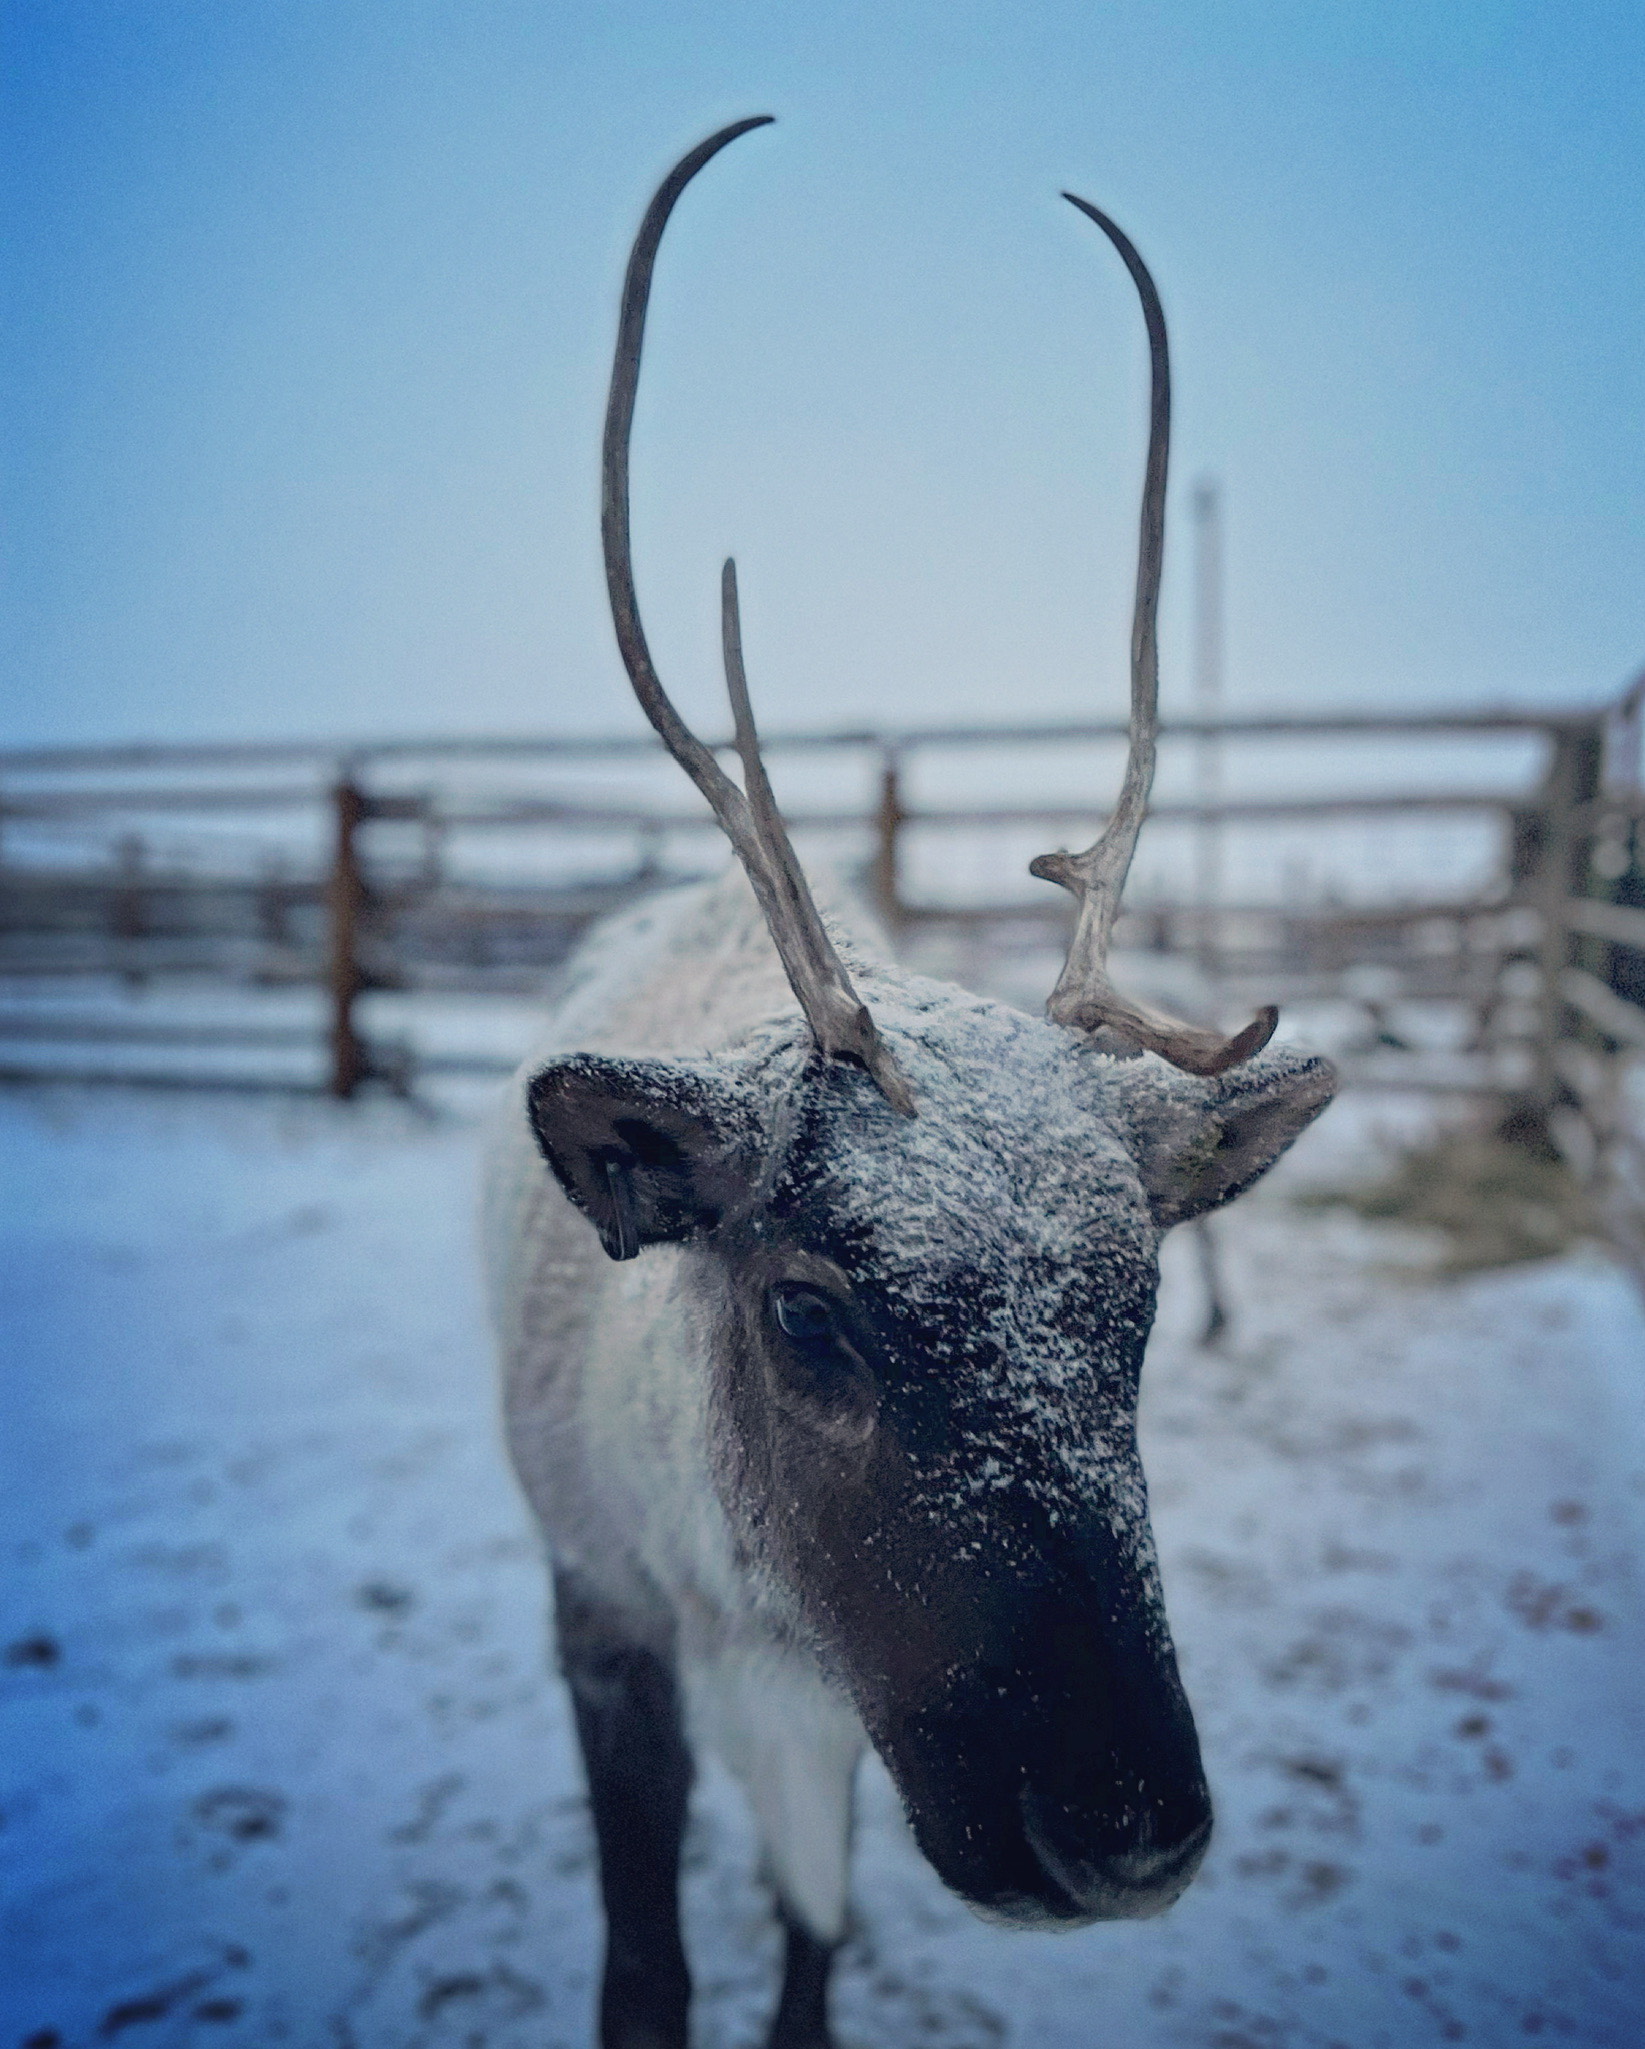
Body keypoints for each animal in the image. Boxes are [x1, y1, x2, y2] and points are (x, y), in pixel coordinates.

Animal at [483, 118, 1335, 2049]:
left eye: (1139, 1302)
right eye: (809, 1309)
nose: (1124, 1829)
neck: (730, 1587)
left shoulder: (835, 1705)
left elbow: (816, 1938)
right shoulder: (602, 1619)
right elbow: (643, 1974)